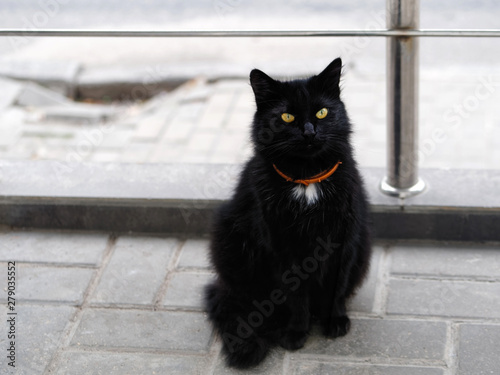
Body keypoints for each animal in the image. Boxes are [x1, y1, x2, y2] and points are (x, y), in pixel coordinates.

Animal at [203, 58, 372, 370]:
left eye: (322, 112)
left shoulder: (345, 241)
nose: (309, 132)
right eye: (287, 117)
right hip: (229, 237)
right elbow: (295, 295)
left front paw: (335, 321)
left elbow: (337, 287)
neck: (307, 181)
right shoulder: (282, 246)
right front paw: (296, 333)